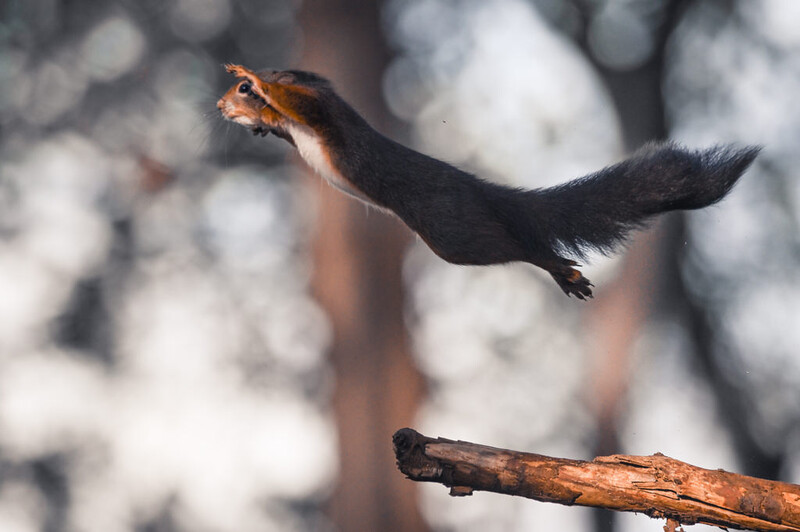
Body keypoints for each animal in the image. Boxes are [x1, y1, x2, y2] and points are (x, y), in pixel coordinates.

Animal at [217, 64, 760, 299]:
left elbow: (298, 101)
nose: (220, 106)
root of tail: (479, 189)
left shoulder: (320, 111)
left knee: (516, 245)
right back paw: (566, 277)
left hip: (455, 233)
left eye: (241, 89)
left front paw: (258, 80)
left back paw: (565, 273)